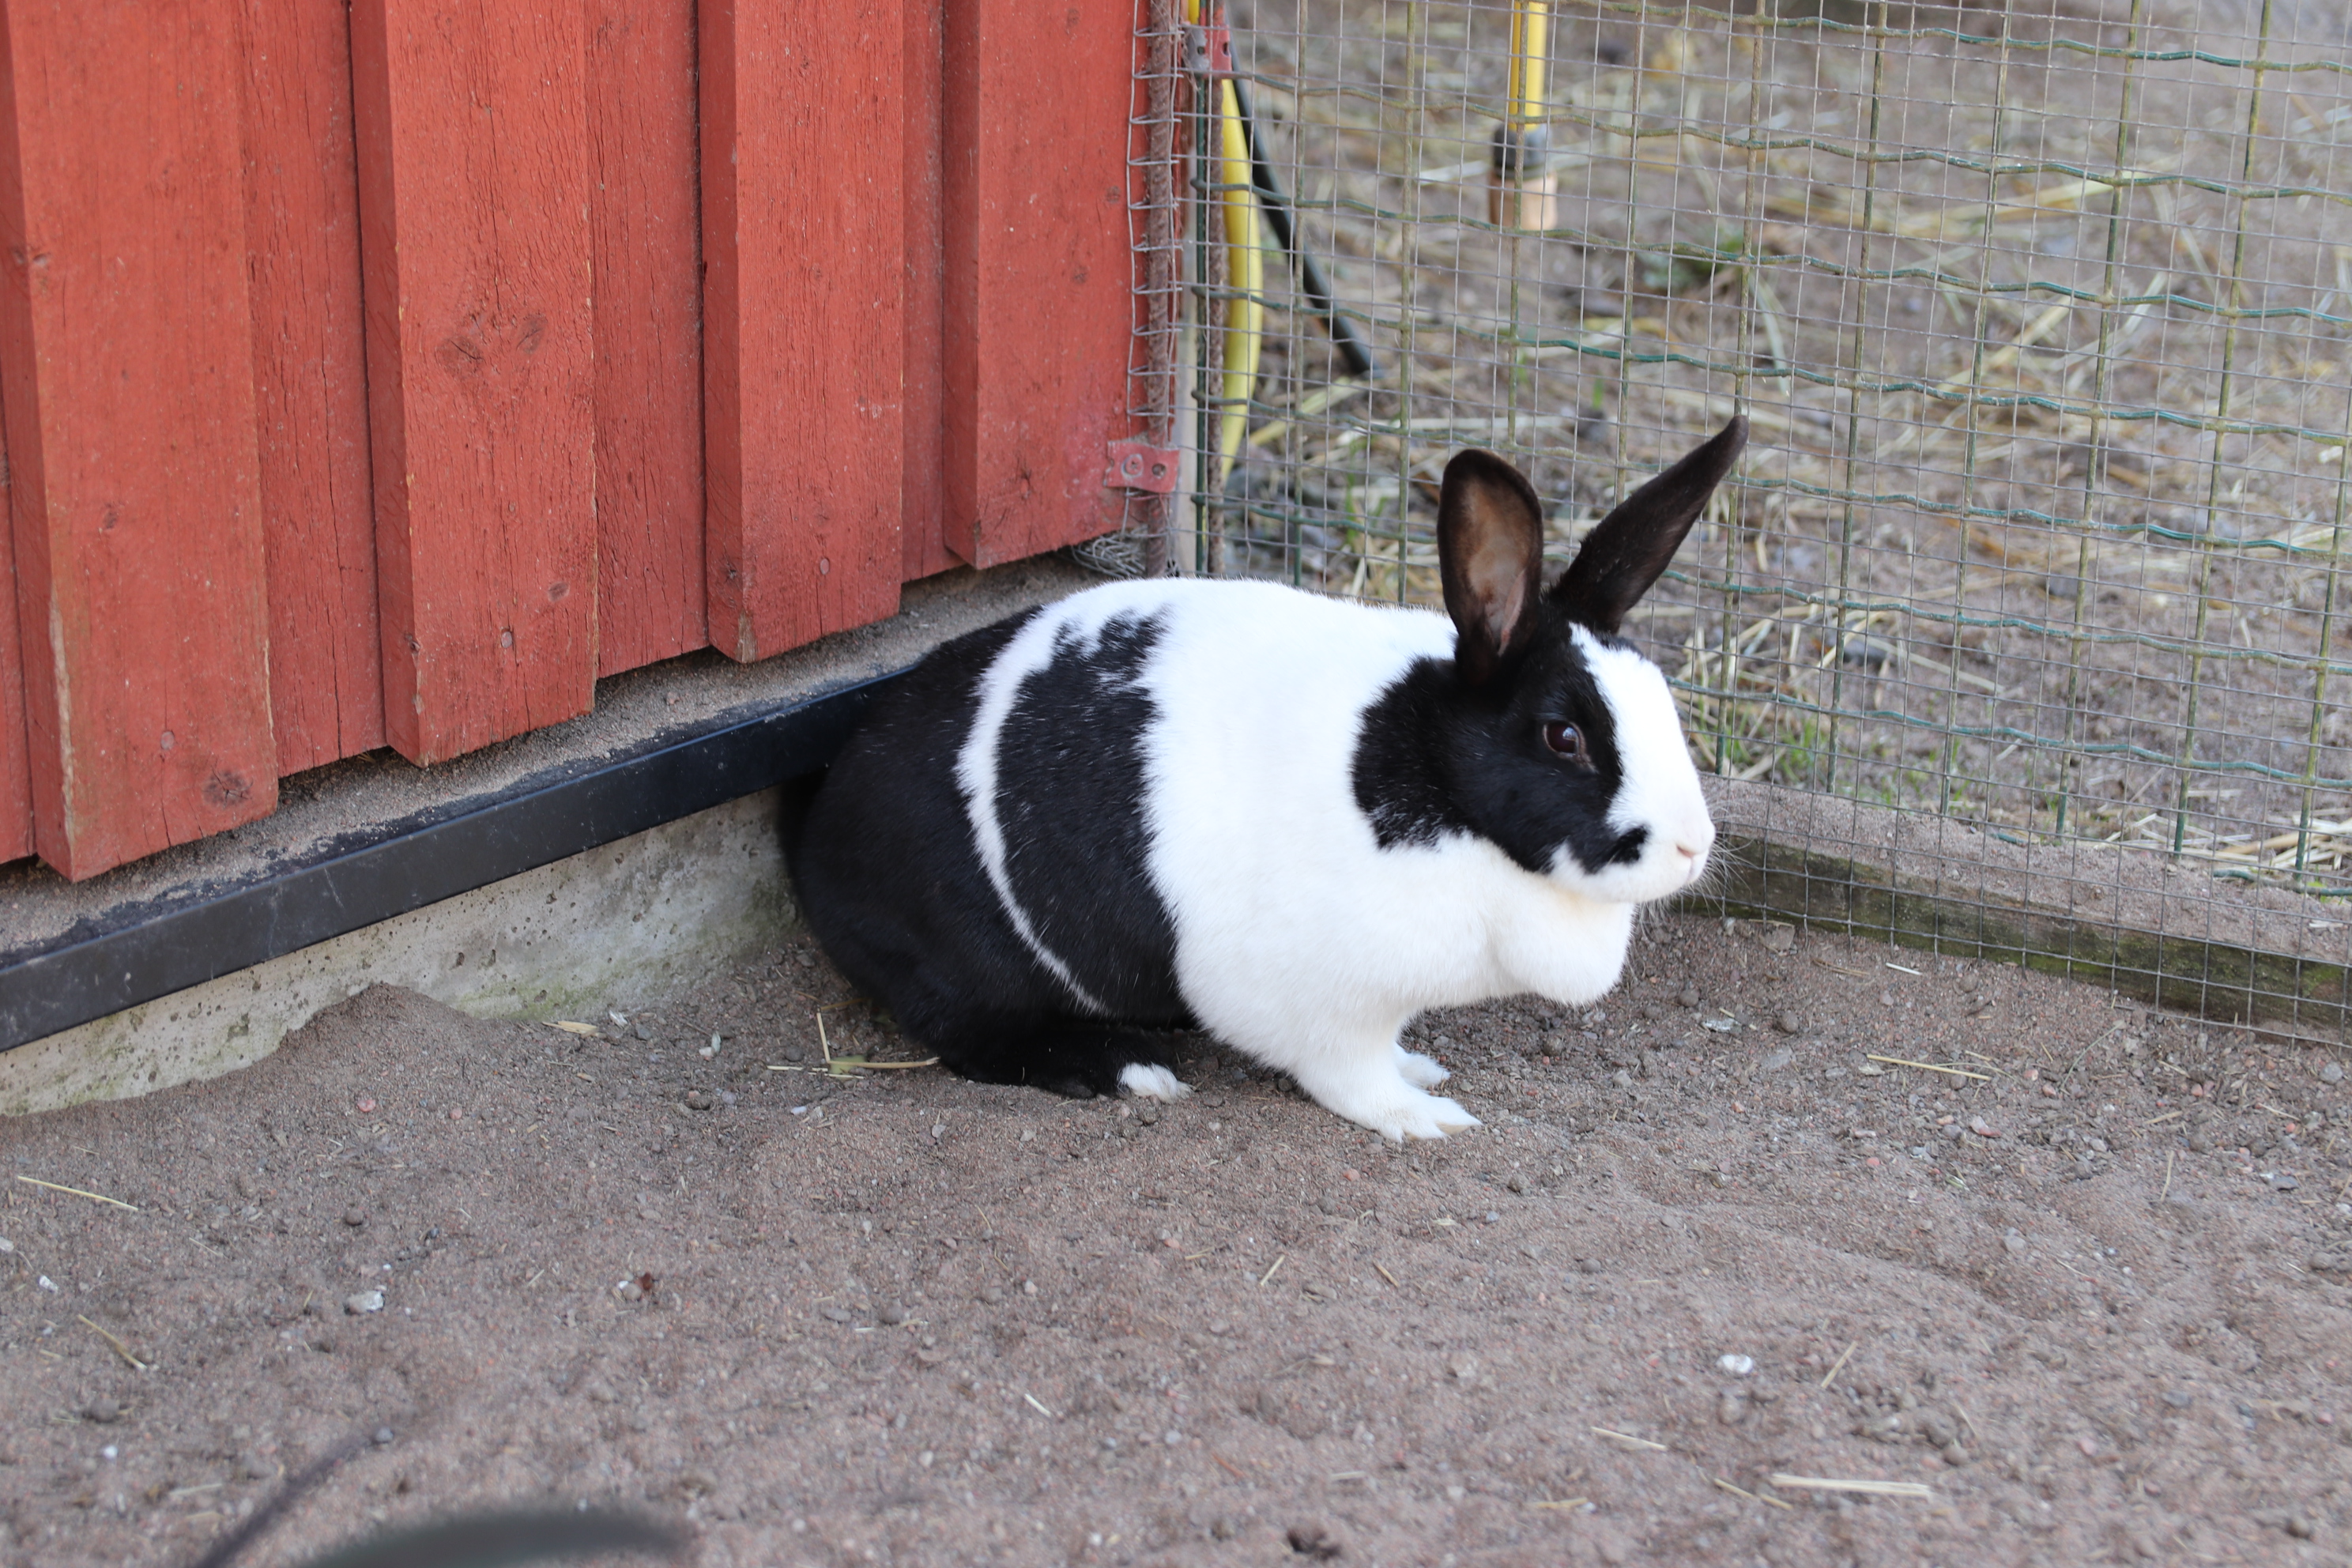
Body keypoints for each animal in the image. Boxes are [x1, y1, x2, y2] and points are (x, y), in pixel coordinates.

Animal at [784, 417, 1745, 1140]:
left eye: (1664, 697)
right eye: (1564, 735)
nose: (1694, 848)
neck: (1442, 790)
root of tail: (819, 835)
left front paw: (1420, 1065)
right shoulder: (1325, 1008)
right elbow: (1352, 1075)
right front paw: (1422, 1115)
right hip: (965, 963)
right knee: (975, 1039)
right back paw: (1128, 1069)